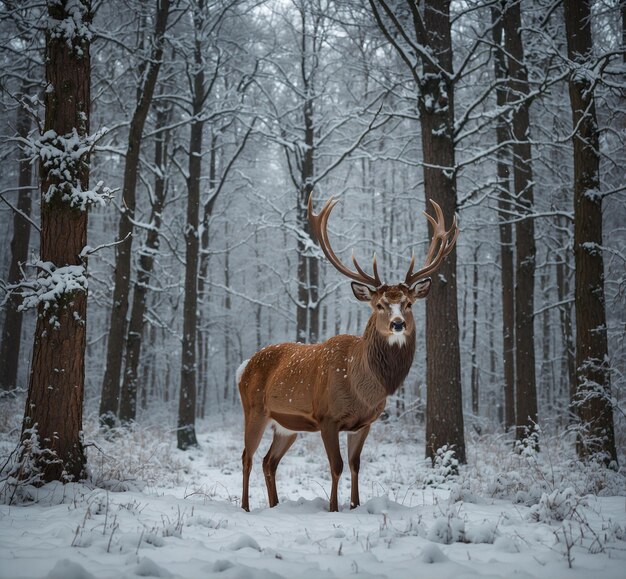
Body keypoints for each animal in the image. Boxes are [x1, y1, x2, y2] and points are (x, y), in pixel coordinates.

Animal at [236, 196, 456, 512]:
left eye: (409, 303)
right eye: (379, 304)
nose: (397, 323)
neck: (361, 386)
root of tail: (243, 367)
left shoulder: (364, 423)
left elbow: (355, 465)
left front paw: (355, 505)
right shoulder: (327, 416)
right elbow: (336, 466)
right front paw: (333, 508)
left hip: (286, 425)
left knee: (269, 461)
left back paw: (275, 505)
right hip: (253, 409)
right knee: (247, 457)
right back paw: (245, 507)